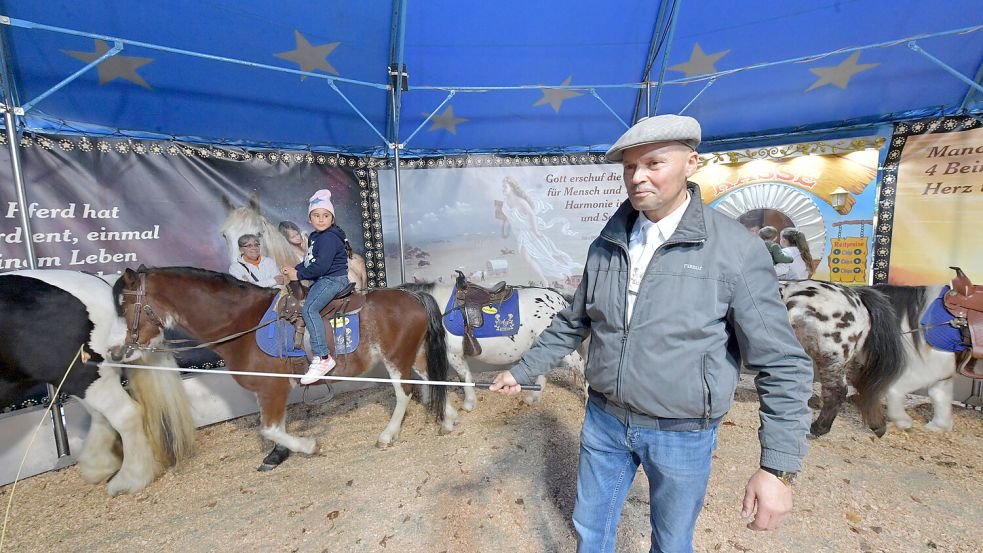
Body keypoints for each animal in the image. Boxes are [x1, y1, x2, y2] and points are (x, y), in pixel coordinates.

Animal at [113, 266, 460, 468]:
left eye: (124, 305)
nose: (123, 348)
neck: (243, 322)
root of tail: (413, 295)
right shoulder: (267, 392)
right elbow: (275, 429)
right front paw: (278, 455)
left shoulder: (272, 389)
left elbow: (269, 428)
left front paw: (308, 445)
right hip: (413, 354)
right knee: (434, 379)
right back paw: (447, 419)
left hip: (396, 358)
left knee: (405, 393)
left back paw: (388, 435)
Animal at [398, 280, 588, 410]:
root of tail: (561, 299)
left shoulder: (453, 354)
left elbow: (464, 377)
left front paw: (468, 404)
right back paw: (533, 397)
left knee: (581, 366)